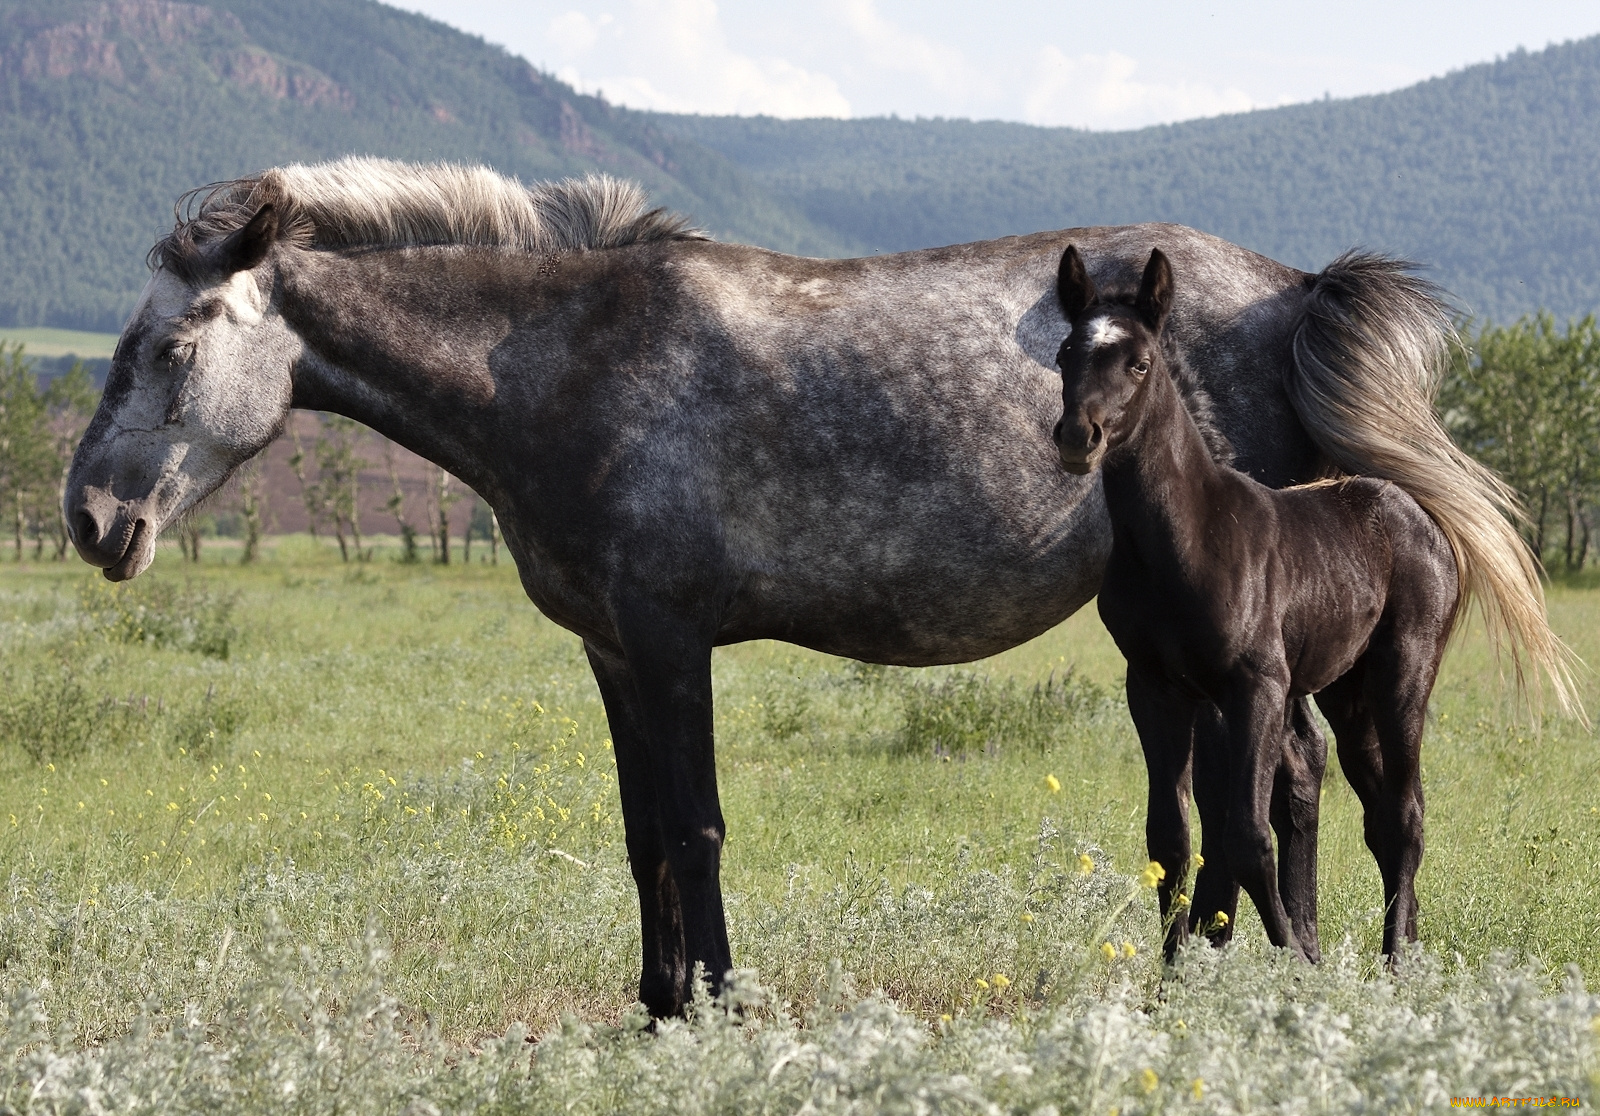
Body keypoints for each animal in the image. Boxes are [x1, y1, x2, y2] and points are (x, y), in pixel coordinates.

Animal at [65, 156, 1561, 1016]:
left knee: (1293, 787)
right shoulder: (614, 652)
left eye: (174, 344)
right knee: (1289, 790)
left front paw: (722, 1000)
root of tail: (1295, 287)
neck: (570, 362)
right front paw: (657, 1002)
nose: (91, 518)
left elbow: (698, 827)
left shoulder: (673, 643)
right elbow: (643, 834)